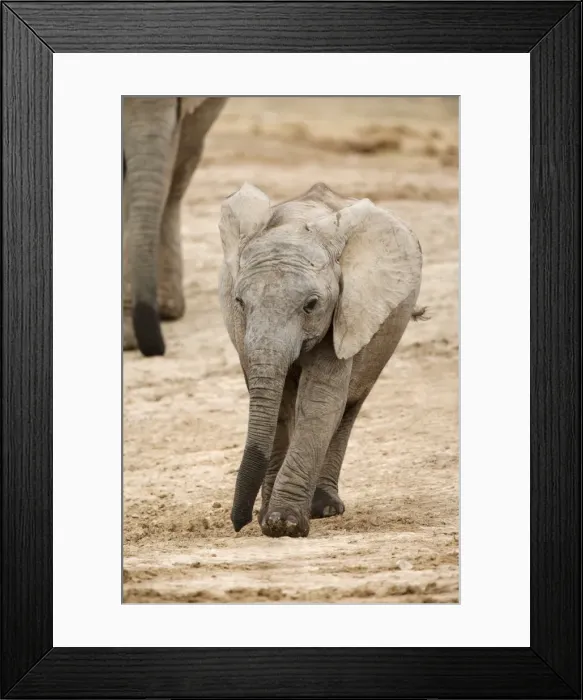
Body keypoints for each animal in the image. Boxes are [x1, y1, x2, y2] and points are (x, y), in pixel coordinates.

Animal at [218, 181, 425, 538]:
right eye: (240, 302)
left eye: (311, 305)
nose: (238, 522)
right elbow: (280, 404)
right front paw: (269, 518)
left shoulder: (345, 308)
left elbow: (320, 400)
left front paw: (284, 524)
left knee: (349, 405)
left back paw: (324, 508)